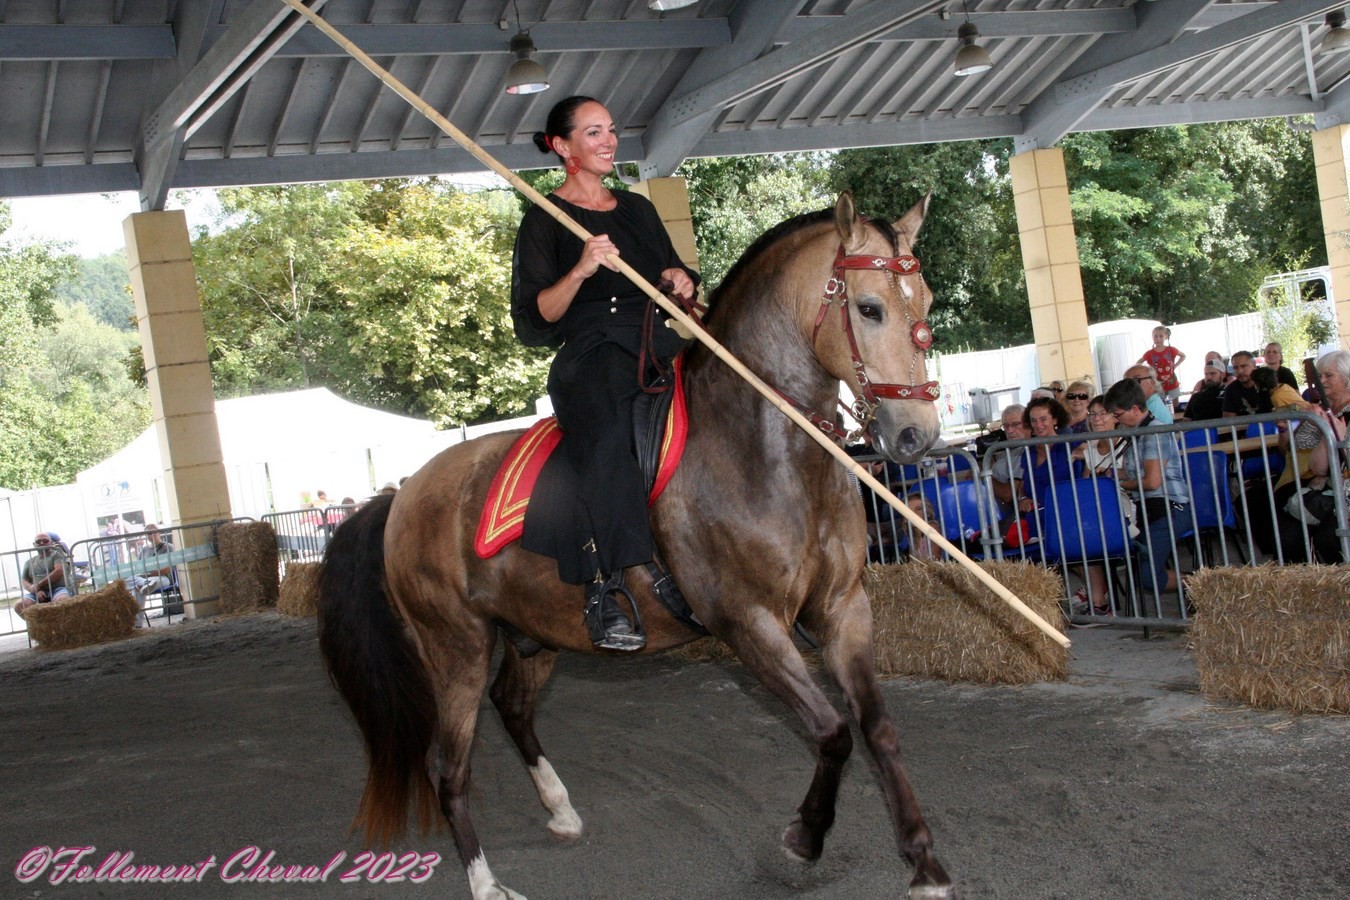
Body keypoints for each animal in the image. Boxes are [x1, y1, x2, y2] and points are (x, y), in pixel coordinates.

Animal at [317, 194, 955, 895]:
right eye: (868, 308)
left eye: (924, 301)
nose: (916, 435)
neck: (762, 445)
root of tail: (401, 495)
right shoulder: (747, 622)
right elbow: (833, 731)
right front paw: (805, 836)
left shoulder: (843, 607)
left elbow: (877, 728)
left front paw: (923, 861)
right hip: (456, 647)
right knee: (448, 769)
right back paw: (486, 881)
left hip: (533, 633)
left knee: (512, 708)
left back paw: (560, 809)